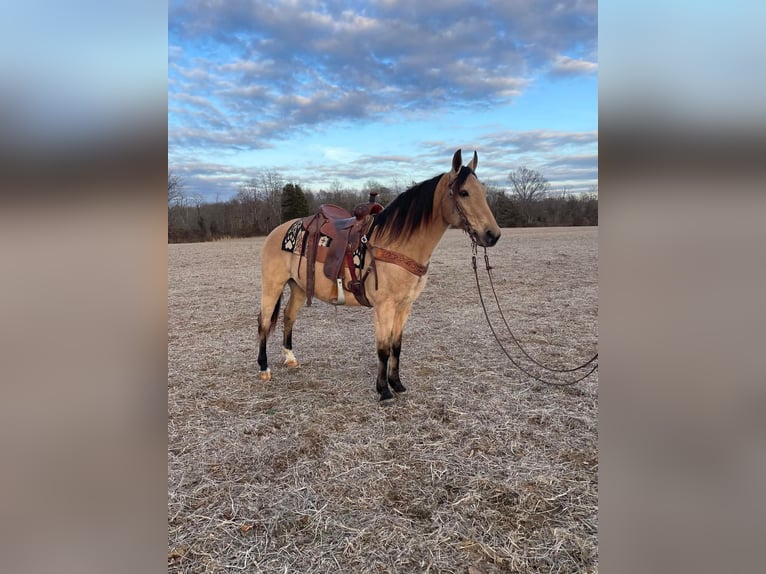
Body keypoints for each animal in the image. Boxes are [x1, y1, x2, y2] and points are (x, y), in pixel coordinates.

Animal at [255, 148, 500, 402]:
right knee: (264, 321)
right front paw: (383, 390)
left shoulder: (405, 306)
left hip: (299, 288)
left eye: (483, 191)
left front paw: (397, 384)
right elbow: (383, 349)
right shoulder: (384, 307)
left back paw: (290, 358)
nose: (492, 235)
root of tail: (277, 231)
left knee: (288, 317)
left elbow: (396, 346)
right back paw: (264, 368)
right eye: (464, 192)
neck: (398, 245)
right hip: (272, 285)